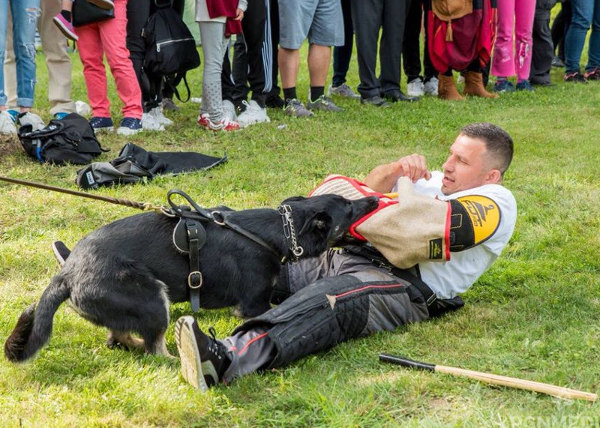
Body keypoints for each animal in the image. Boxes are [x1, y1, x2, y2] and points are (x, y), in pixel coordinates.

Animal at [7, 194, 378, 362]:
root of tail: (67, 272)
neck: (277, 231)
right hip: (154, 300)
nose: (374, 198)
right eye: (350, 208)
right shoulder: (253, 304)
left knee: (119, 337)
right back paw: (176, 360)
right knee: (154, 349)